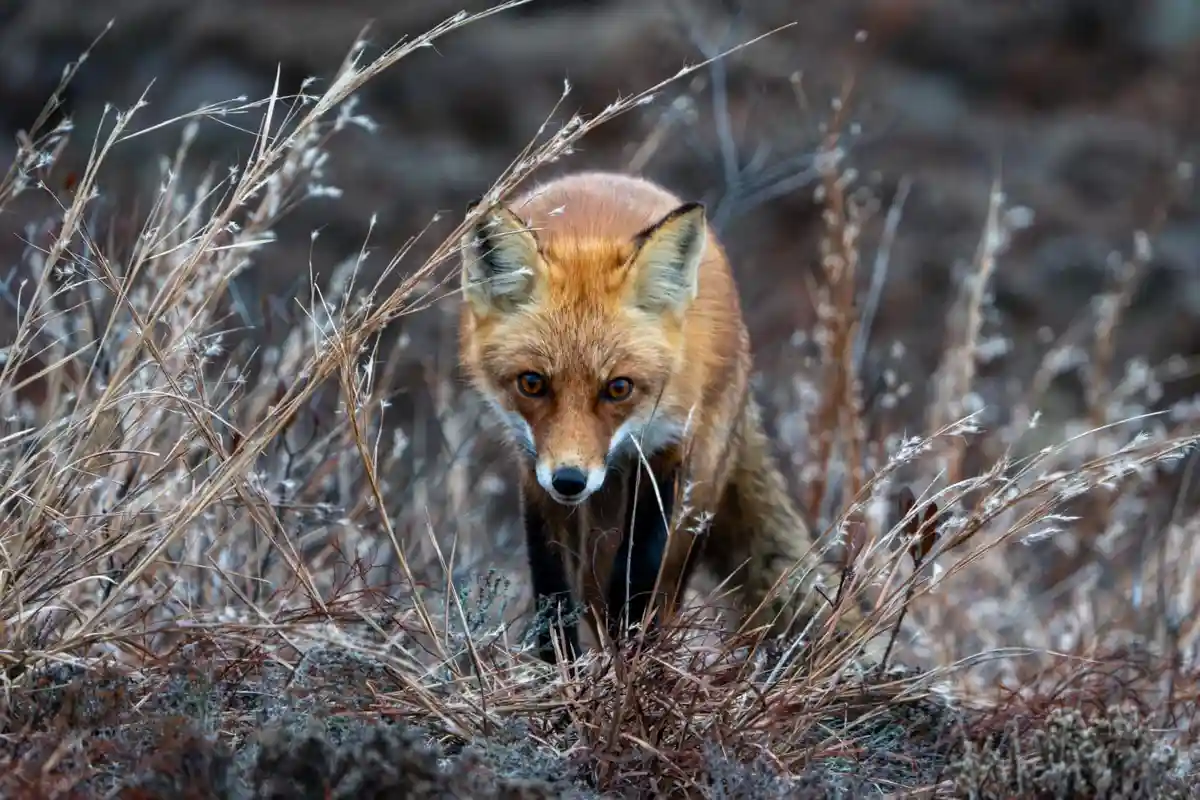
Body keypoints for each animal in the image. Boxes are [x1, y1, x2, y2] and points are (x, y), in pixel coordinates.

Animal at [457, 170, 862, 664]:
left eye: (619, 388)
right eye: (532, 383)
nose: (570, 480)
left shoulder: (669, 449)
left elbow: (638, 579)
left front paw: (631, 657)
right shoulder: (532, 466)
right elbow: (553, 593)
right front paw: (559, 669)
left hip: (698, 492)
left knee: (664, 586)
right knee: (590, 589)